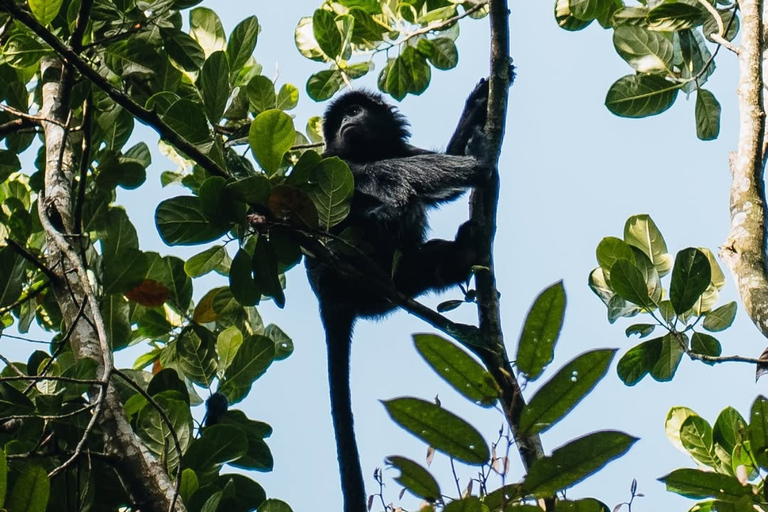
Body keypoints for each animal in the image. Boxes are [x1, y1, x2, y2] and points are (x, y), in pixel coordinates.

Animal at [305, 81, 491, 512]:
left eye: (354, 110)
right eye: (341, 117)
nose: (348, 120)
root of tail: (330, 301)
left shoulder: (397, 148)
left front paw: (476, 108)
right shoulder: (330, 159)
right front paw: (478, 158)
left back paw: (461, 255)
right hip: (334, 271)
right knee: (386, 184)